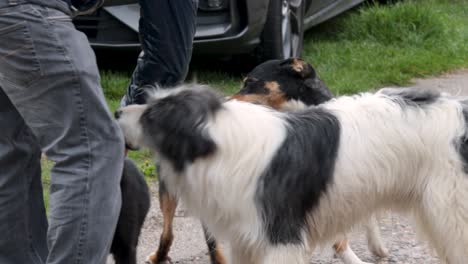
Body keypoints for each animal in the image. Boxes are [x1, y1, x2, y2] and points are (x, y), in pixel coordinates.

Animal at [115, 85, 468, 264]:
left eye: (151, 116)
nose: (117, 112)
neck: (218, 139)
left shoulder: (280, 239)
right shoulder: (246, 240)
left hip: (452, 213)